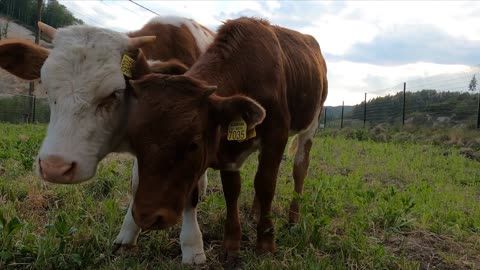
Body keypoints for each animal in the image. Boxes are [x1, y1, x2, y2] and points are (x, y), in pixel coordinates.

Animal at [0, 16, 214, 264]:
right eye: (46, 88)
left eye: (113, 94)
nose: (55, 167)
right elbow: (136, 183)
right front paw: (128, 232)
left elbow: (190, 193)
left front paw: (192, 245)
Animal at [125, 16, 328, 264]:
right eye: (134, 139)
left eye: (194, 144)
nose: (146, 216)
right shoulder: (228, 149)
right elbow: (233, 190)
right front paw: (231, 244)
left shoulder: (276, 135)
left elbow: (266, 184)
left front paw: (265, 242)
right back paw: (254, 212)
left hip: (312, 123)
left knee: (299, 169)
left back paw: (292, 218)